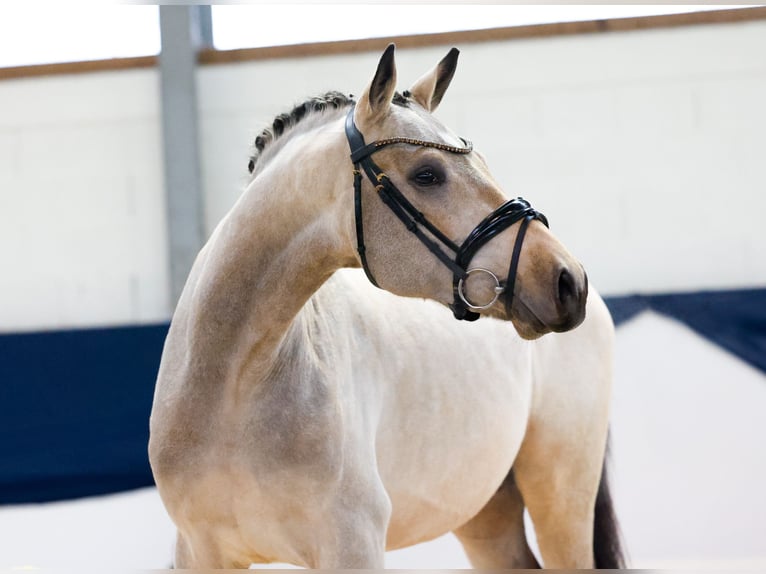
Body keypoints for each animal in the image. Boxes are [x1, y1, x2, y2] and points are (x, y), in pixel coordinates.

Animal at [148, 45, 624, 572]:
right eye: (427, 174)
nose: (567, 279)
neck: (235, 383)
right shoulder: (199, 551)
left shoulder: (352, 545)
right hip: (484, 512)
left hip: (561, 498)